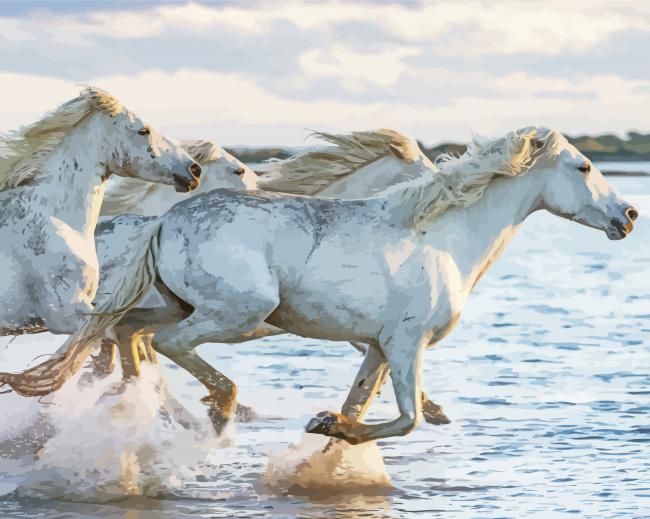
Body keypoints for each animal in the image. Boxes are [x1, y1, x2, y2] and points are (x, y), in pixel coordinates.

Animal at [2, 126, 637, 444]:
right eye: (583, 167)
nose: (628, 216)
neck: (442, 236)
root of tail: (164, 219)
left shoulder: (379, 346)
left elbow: (366, 400)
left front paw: (333, 427)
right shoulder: (406, 344)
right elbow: (405, 418)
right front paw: (332, 424)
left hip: (175, 308)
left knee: (129, 342)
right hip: (236, 311)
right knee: (163, 347)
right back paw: (217, 409)